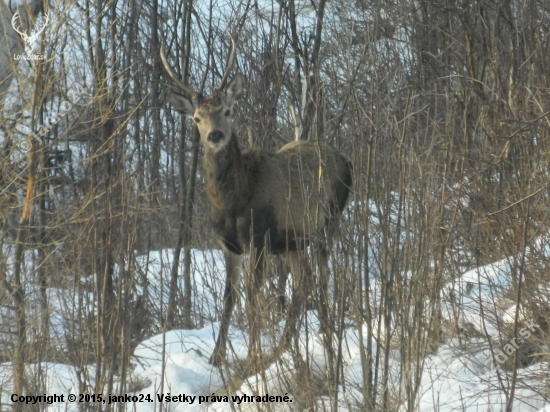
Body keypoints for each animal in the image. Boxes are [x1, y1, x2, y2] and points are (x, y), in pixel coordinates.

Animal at [161, 39, 354, 366]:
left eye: (227, 111)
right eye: (197, 118)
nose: (215, 135)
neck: (234, 202)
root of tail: (346, 160)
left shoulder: (260, 237)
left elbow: (253, 297)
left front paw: (252, 354)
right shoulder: (229, 245)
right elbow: (229, 298)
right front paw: (216, 356)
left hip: (328, 221)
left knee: (322, 279)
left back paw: (326, 339)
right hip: (292, 241)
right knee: (303, 282)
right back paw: (286, 344)